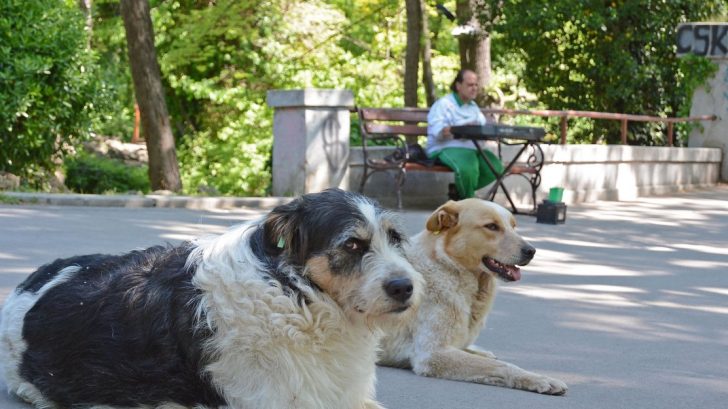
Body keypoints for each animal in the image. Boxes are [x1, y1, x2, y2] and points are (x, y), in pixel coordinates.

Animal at [378, 198, 568, 395]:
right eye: (491, 226)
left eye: (514, 226)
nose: (531, 251)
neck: (449, 268)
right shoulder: (432, 353)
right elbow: (502, 366)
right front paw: (540, 379)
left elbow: (482, 355)